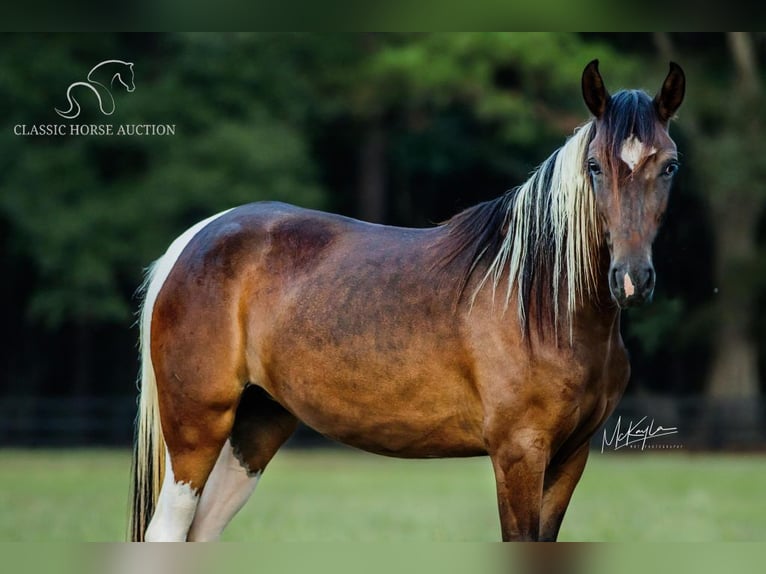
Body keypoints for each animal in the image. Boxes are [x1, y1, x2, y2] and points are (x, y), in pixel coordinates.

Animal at [129, 60, 688, 544]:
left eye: (669, 166)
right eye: (594, 166)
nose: (632, 279)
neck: (544, 304)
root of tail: (198, 238)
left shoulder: (571, 456)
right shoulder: (519, 453)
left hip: (255, 428)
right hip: (197, 428)